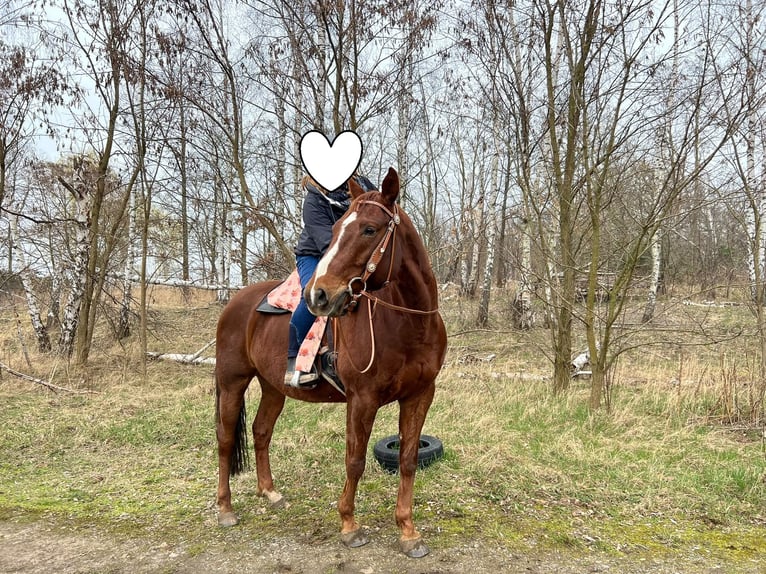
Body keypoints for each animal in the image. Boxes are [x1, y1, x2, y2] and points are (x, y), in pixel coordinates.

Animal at [214, 167, 447, 557]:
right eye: (336, 229)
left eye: (369, 229)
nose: (319, 295)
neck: (407, 323)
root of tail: (234, 302)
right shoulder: (362, 399)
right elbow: (355, 461)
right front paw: (349, 526)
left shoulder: (420, 395)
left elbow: (408, 460)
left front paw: (408, 531)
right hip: (232, 382)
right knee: (225, 439)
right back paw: (225, 509)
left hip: (273, 386)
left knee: (261, 432)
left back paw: (270, 492)